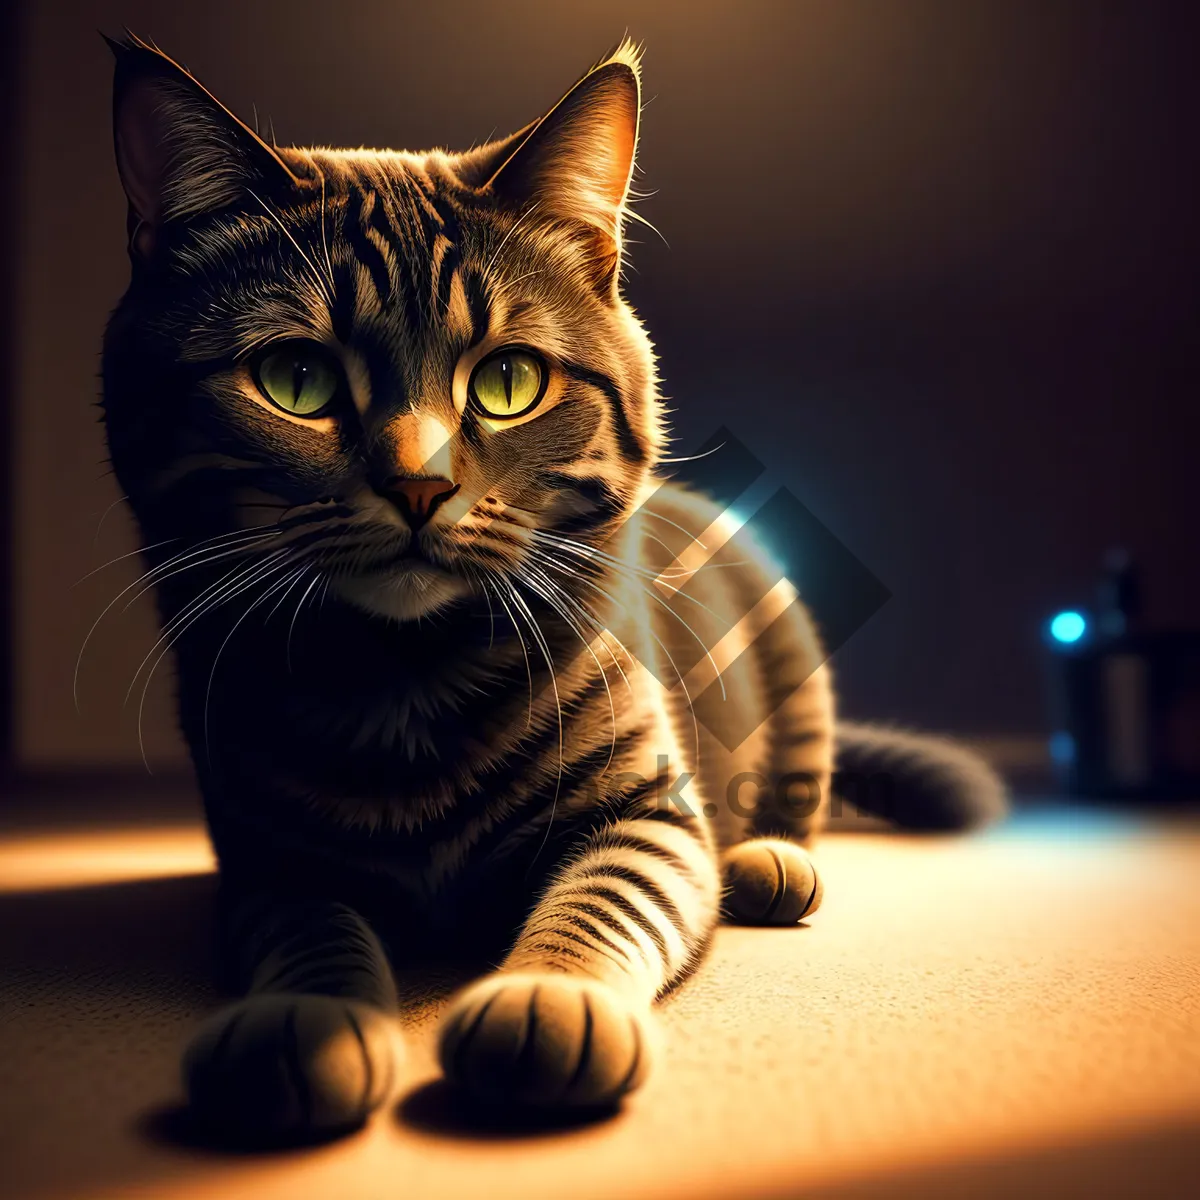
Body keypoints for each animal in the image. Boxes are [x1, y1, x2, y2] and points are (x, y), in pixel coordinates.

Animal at [100, 37, 1003, 1137]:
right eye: (296, 380)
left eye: (508, 383)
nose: (418, 485)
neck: (406, 686)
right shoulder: (264, 865)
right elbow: (312, 935)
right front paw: (301, 1024)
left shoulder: (646, 816)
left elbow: (598, 905)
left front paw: (546, 1001)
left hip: (795, 689)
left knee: (785, 804)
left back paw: (767, 864)